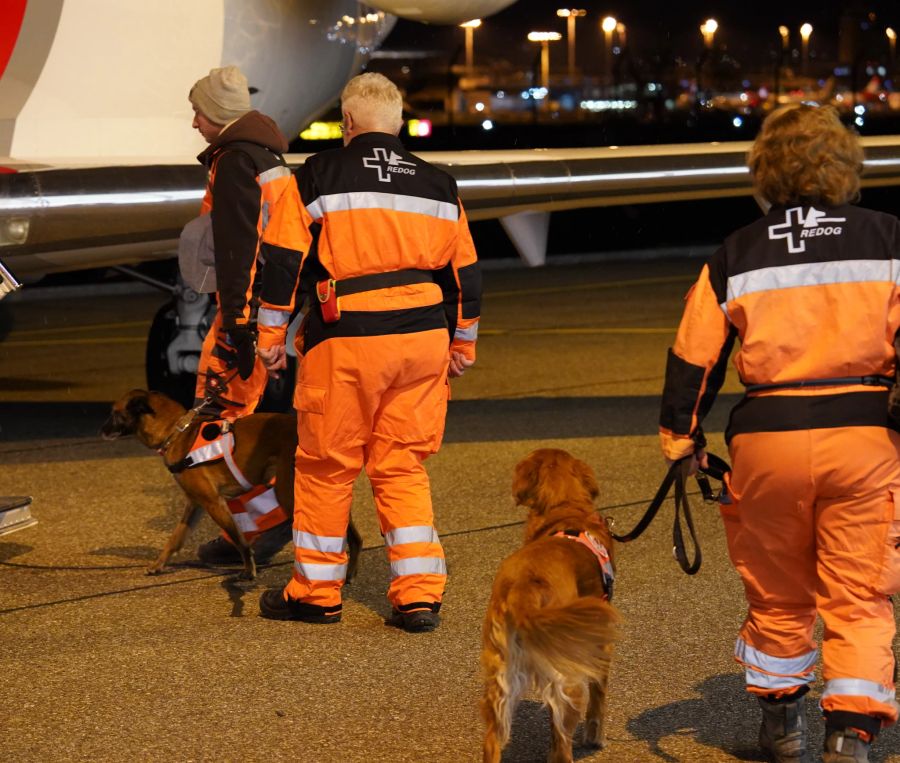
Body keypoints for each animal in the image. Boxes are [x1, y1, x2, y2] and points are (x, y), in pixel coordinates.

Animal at [482, 448, 624, 763]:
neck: (565, 508)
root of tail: (524, 587)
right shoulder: (601, 644)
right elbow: (598, 701)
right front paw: (595, 739)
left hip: (499, 675)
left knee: (493, 741)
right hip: (569, 673)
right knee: (562, 743)